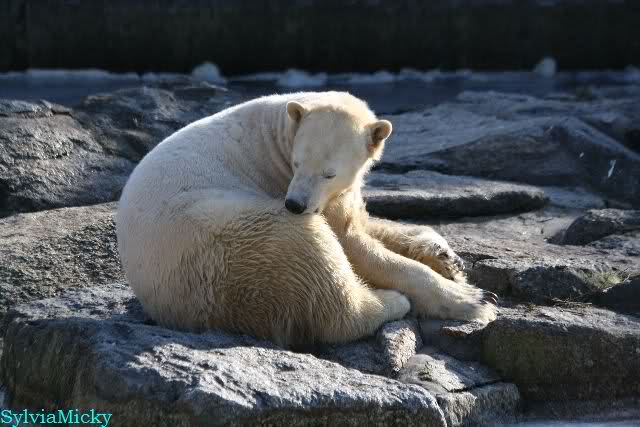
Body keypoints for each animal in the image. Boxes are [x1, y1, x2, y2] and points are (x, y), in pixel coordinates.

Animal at [116, 91, 496, 348]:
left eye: (329, 173)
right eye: (297, 163)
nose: (295, 204)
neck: (279, 128)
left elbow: (360, 223)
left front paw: (447, 258)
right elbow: (352, 246)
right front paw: (474, 300)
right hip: (227, 240)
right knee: (314, 263)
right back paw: (391, 302)